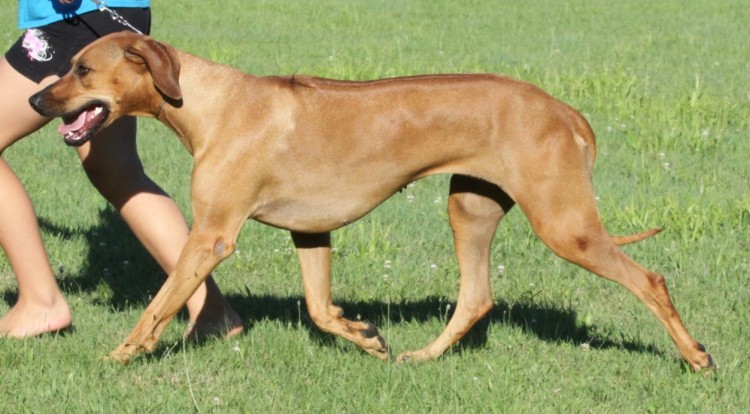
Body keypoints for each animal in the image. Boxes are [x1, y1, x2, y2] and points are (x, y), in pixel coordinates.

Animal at [29, 32, 713, 371]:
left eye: (82, 69)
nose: (35, 100)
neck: (207, 103)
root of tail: (563, 109)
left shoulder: (212, 235)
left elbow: (158, 304)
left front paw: (118, 356)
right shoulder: (310, 230)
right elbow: (319, 308)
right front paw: (365, 337)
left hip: (564, 224)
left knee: (650, 281)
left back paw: (697, 358)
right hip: (470, 207)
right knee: (475, 298)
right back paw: (421, 357)